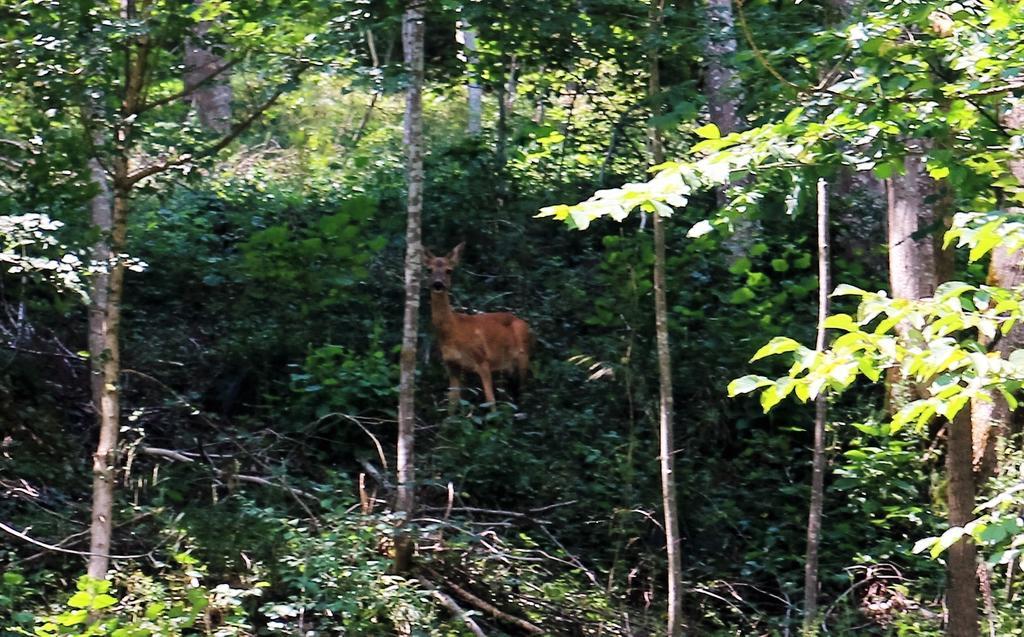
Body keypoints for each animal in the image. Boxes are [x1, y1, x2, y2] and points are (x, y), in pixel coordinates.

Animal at [423, 241, 536, 411]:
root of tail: (525, 324)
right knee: (510, 394)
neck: (453, 330)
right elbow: (452, 403)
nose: (438, 284)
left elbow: (490, 401)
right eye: (429, 269)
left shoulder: (483, 360)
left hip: (524, 356)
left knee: (523, 392)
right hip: (506, 367)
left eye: (449, 270)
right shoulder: (452, 365)